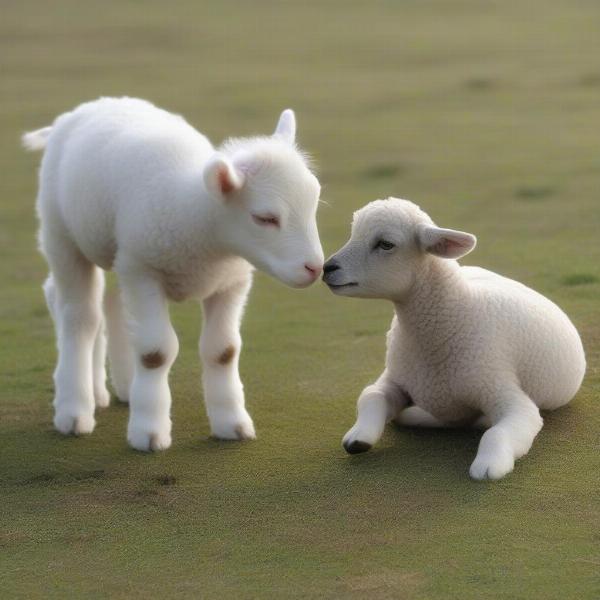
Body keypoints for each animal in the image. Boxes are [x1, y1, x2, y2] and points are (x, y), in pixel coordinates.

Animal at [22, 96, 324, 450]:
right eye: (264, 218)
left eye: (314, 202)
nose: (315, 267)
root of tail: (90, 106)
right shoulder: (144, 271)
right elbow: (155, 352)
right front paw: (149, 432)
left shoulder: (231, 281)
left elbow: (224, 350)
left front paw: (231, 423)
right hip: (62, 235)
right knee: (79, 316)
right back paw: (75, 408)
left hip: (115, 249)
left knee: (106, 304)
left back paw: (119, 388)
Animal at [324, 197, 584, 478]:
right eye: (353, 234)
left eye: (386, 244)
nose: (327, 268)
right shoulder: (395, 376)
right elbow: (371, 395)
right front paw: (358, 437)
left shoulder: (504, 391)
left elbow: (497, 433)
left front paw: (489, 466)